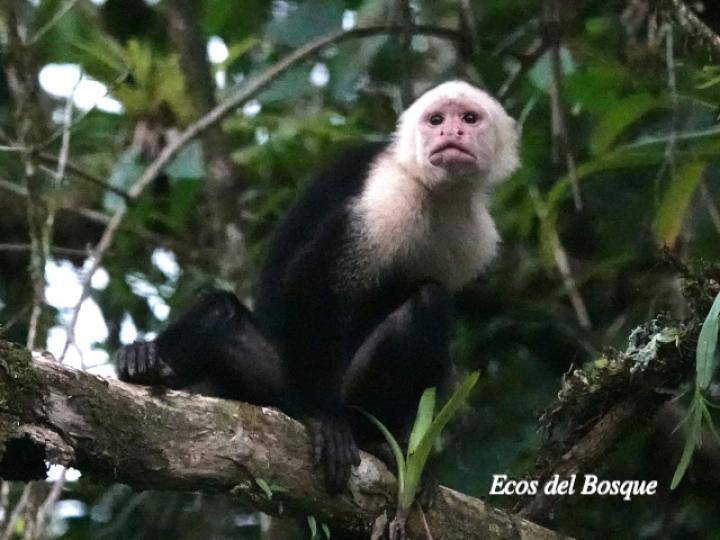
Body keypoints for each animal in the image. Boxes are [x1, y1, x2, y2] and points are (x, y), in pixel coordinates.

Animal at [116, 80, 519, 495]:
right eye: (436, 120)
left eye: (469, 118)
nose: (450, 133)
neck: (436, 192)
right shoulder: (390, 198)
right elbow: (315, 283)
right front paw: (322, 418)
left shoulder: (475, 238)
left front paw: (398, 446)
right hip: (278, 387)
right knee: (223, 315)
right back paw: (144, 363)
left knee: (430, 301)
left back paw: (371, 439)